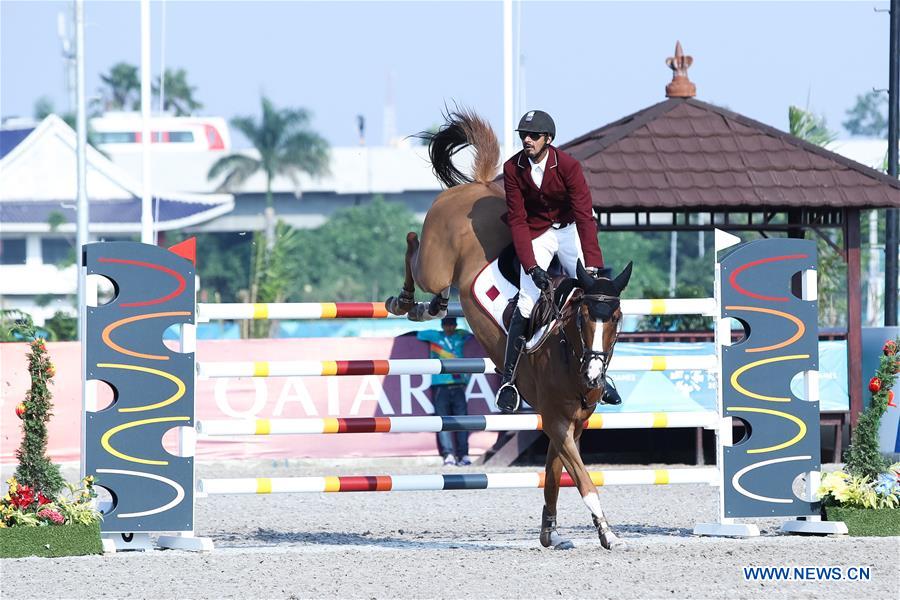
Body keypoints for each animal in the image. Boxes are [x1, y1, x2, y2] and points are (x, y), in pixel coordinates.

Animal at [386, 108, 632, 548]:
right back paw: (405, 301)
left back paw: (432, 305)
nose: (594, 376)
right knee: (414, 245)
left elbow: (554, 475)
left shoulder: (572, 422)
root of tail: (480, 185)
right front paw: (607, 532)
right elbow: (583, 479)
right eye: (584, 318)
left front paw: (551, 532)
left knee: (434, 285)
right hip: (433, 261)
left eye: (616, 319)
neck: (568, 350)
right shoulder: (555, 419)